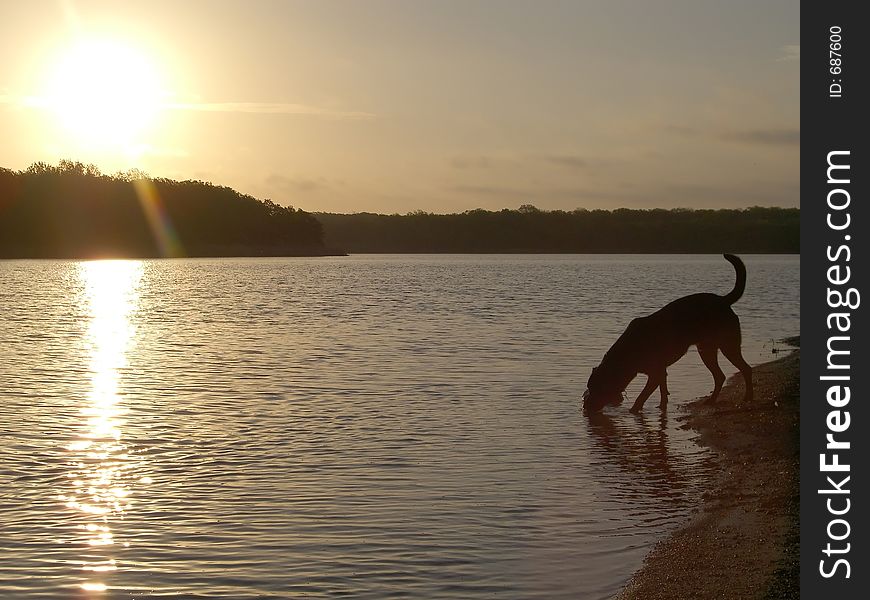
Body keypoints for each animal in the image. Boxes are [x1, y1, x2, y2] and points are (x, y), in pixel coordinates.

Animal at [584, 253, 756, 412]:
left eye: (596, 389)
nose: (585, 407)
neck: (627, 353)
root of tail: (723, 300)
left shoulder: (655, 374)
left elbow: (642, 396)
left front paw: (634, 410)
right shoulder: (661, 372)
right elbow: (663, 391)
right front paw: (662, 407)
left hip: (728, 344)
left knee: (745, 369)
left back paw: (748, 397)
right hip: (706, 349)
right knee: (720, 376)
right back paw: (712, 400)